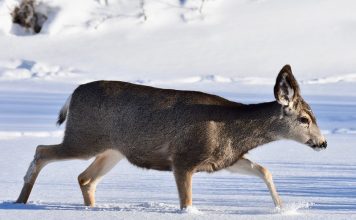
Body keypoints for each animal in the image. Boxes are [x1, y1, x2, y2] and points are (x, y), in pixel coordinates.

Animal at [16, 65, 328, 210]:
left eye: (314, 116)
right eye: (304, 119)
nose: (323, 143)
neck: (232, 130)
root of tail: (72, 94)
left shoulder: (223, 160)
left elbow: (264, 170)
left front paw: (283, 208)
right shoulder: (183, 158)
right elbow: (186, 202)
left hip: (112, 150)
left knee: (85, 177)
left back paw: (91, 209)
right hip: (83, 137)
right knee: (42, 150)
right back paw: (20, 202)